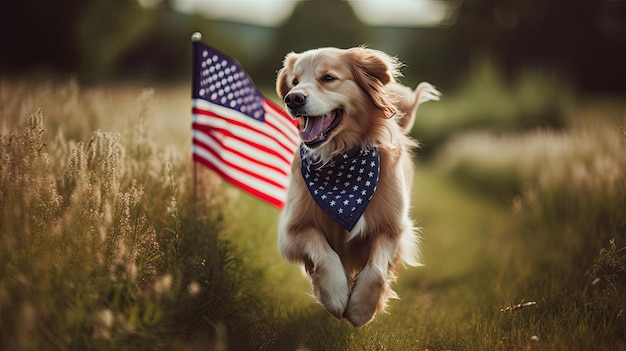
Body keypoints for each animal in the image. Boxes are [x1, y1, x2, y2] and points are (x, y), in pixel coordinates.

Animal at [272, 46, 438, 328]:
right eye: (294, 82)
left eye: (328, 78)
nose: (292, 99)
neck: (340, 159)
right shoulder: (292, 230)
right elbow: (323, 251)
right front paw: (335, 293)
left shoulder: (394, 229)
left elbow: (377, 268)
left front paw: (362, 307)